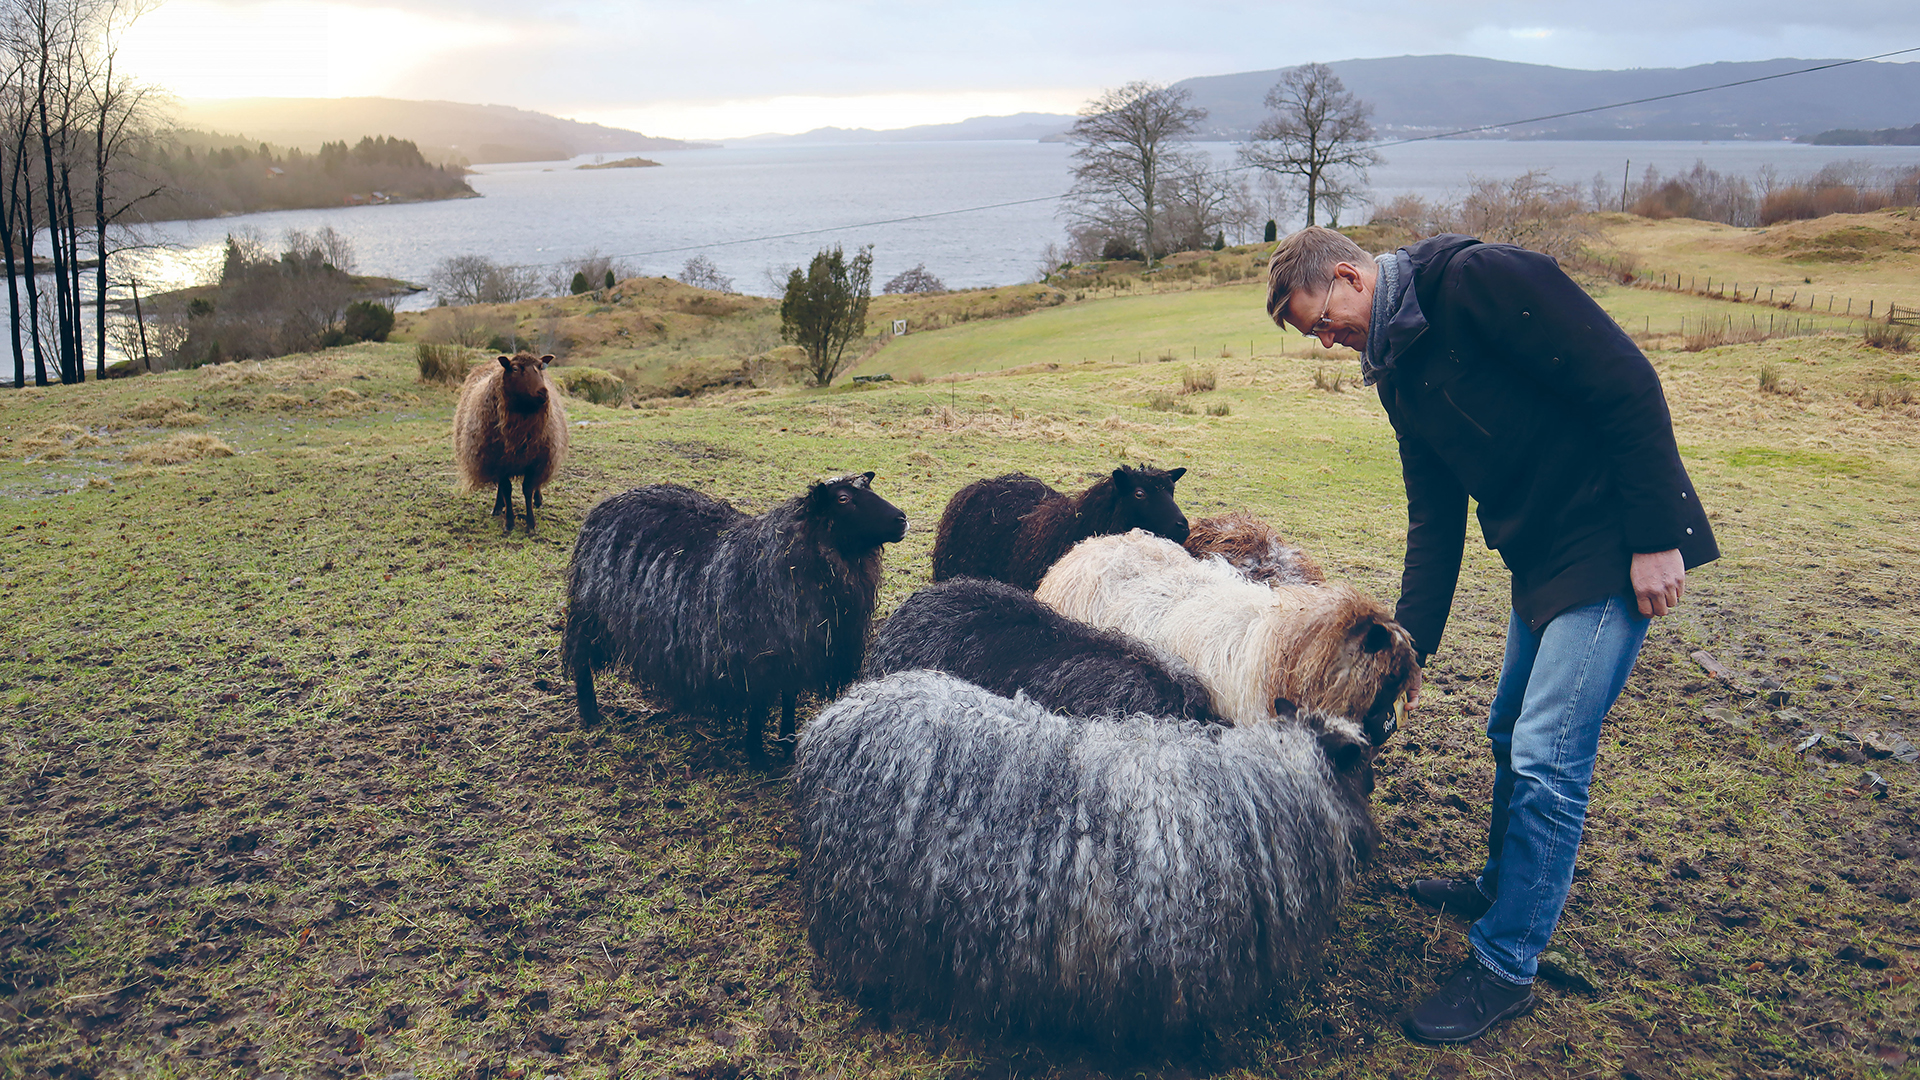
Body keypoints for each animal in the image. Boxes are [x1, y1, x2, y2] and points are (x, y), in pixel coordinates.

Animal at [455, 351, 568, 530]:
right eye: (515, 369)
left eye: (540, 367)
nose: (543, 392)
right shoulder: (498, 461)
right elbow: (506, 489)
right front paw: (509, 521)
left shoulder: (535, 461)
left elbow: (528, 489)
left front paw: (531, 523)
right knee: (502, 488)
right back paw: (498, 507)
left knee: (535, 484)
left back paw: (538, 500)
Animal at [560, 470, 906, 757]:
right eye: (843, 499)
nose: (902, 519)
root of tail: (609, 502)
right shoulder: (753, 653)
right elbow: (758, 704)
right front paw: (756, 756)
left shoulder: (795, 650)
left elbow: (789, 696)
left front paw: (787, 743)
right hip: (591, 609)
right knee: (580, 657)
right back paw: (589, 713)